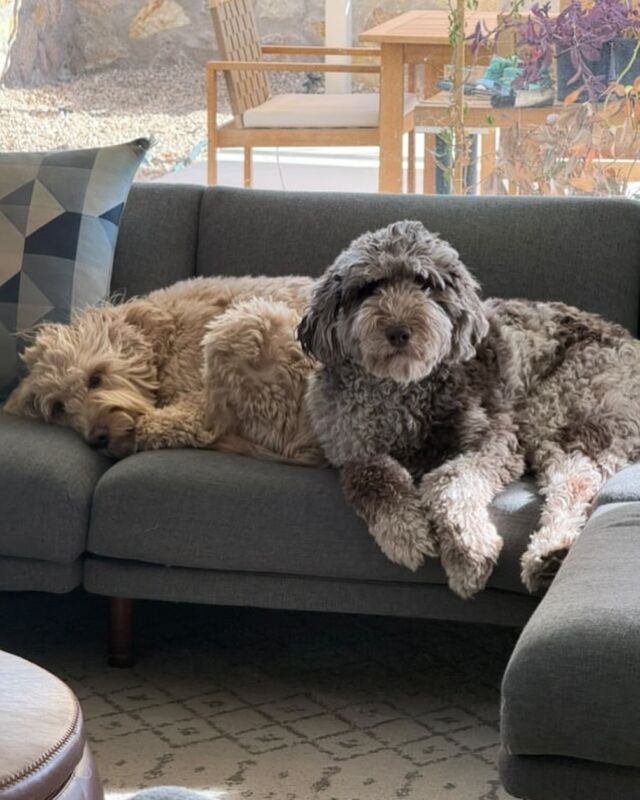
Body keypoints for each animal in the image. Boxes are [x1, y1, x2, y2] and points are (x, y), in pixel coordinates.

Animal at [296, 222, 640, 596]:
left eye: (425, 283)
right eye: (369, 288)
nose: (399, 331)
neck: (401, 390)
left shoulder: (495, 440)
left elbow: (446, 479)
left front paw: (467, 551)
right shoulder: (352, 449)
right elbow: (374, 479)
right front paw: (405, 532)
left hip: (555, 406)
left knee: (576, 477)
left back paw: (549, 551)